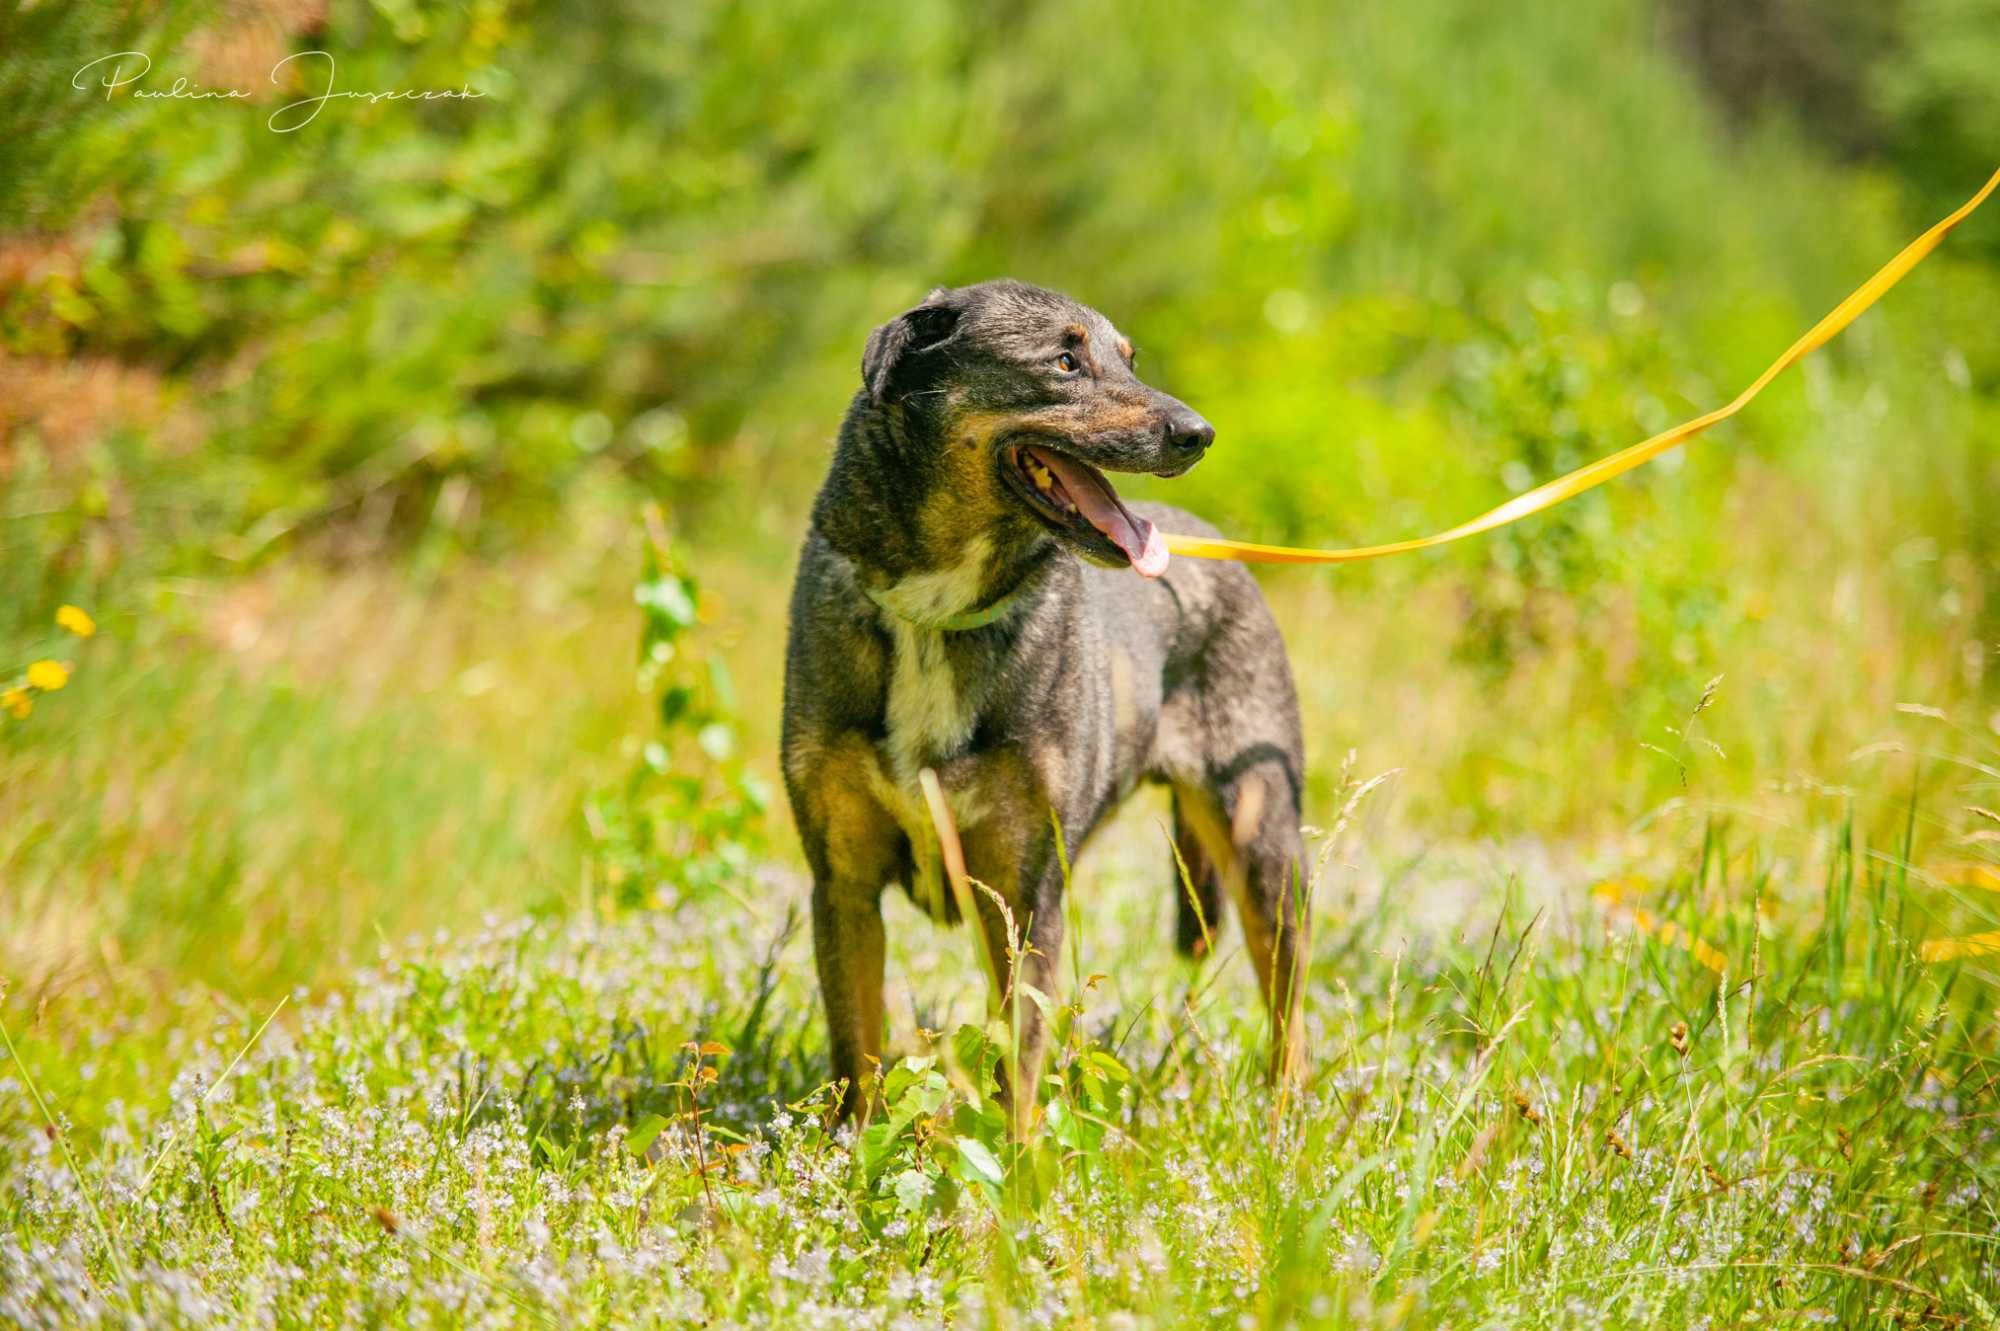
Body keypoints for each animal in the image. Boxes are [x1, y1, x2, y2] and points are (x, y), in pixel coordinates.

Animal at [780, 279, 1312, 1127]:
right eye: (1064, 362)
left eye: (1129, 360)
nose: (1198, 434)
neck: (938, 608)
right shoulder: (845, 884)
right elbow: (857, 1053)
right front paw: (848, 1153)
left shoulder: (1028, 892)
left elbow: (1017, 1059)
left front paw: (1014, 1157)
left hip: (1263, 837)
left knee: (1287, 999)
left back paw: (1283, 1118)